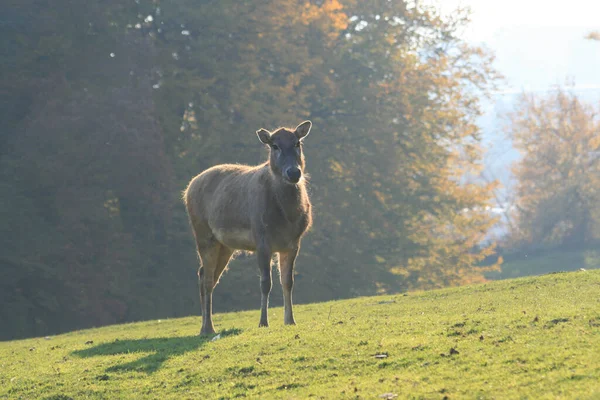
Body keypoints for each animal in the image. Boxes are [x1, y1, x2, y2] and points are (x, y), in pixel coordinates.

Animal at [183, 120, 314, 336]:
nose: (294, 172)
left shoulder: (294, 243)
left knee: (206, 274)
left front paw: (290, 320)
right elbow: (265, 283)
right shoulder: (261, 239)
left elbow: (288, 281)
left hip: (225, 245)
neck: (286, 218)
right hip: (203, 234)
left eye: (297, 143)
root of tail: (187, 189)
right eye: (274, 146)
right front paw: (263, 322)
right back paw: (207, 328)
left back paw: (206, 326)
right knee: (207, 278)